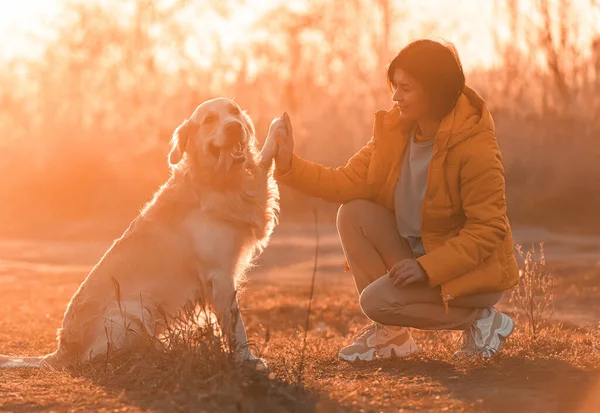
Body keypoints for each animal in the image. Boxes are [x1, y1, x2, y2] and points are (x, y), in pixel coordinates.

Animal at [0, 98, 282, 368]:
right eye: (209, 120)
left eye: (234, 111)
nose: (234, 127)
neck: (217, 180)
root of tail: (62, 350)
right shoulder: (219, 275)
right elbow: (236, 326)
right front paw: (247, 359)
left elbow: (260, 169)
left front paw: (276, 134)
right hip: (134, 311)